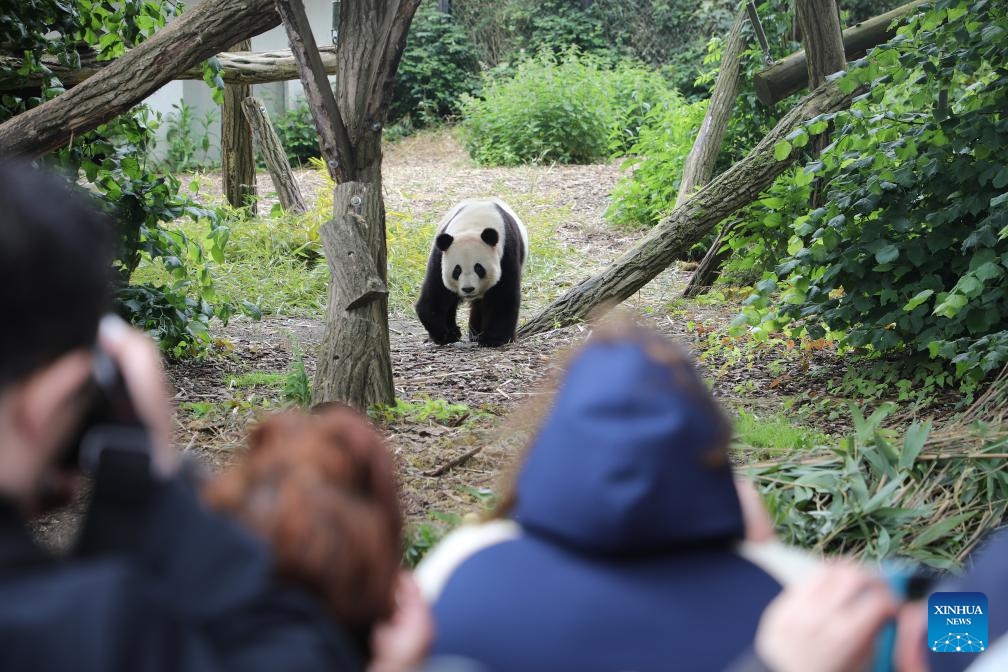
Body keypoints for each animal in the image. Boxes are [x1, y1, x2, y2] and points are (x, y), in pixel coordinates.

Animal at [415, 198, 528, 347]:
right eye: (457, 270)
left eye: (479, 268)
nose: (468, 289)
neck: (473, 225)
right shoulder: (440, 256)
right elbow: (435, 296)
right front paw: (446, 335)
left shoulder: (506, 252)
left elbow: (502, 297)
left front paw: (493, 339)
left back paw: (477, 333)